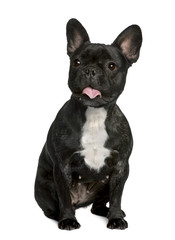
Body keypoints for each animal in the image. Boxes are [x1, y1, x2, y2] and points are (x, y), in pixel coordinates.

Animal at [34, 17, 142, 230]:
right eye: (76, 62)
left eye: (111, 66)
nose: (90, 70)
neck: (94, 114)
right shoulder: (62, 167)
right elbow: (64, 197)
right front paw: (68, 220)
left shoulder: (120, 168)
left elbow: (116, 197)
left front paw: (115, 217)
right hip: (46, 185)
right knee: (52, 206)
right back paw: (59, 215)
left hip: (104, 185)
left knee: (97, 206)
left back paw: (110, 213)